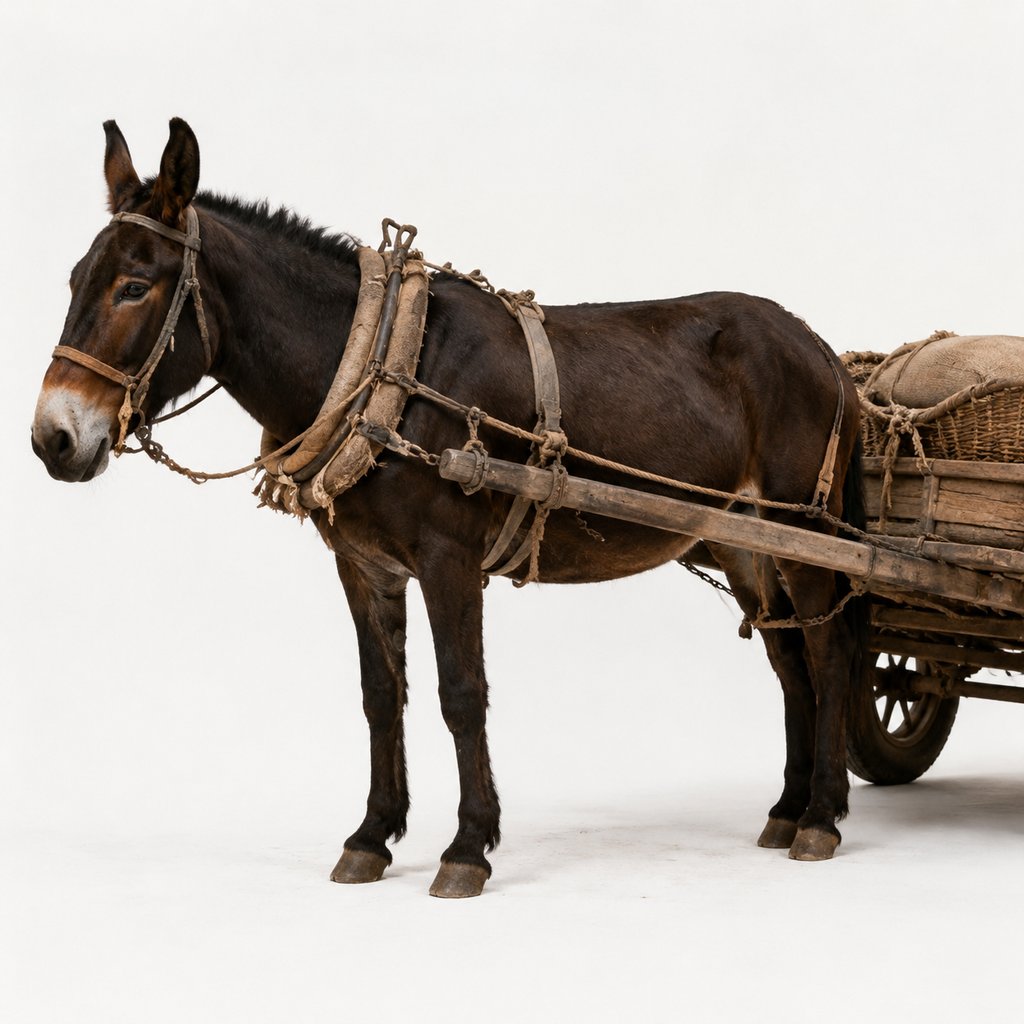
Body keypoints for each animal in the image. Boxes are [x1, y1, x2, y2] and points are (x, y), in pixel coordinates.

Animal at [32, 118, 863, 898]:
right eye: (75, 280)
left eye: (134, 286)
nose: (51, 439)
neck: (377, 368)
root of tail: (816, 342)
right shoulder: (363, 565)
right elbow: (380, 697)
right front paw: (371, 837)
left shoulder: (449, 559)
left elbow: (461, 694)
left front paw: (467, 848)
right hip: (743, 543)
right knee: (790, 662)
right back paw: (787, 809)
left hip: (802, 530)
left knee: (827, 654)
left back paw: (822, 817)